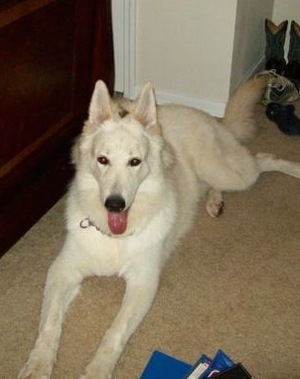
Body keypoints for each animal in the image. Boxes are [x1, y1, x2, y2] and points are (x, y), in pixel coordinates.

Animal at [18, 78, 300, 379]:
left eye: (135, 162)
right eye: (102, 160)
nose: (115, 204)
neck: (115, 237)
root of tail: (212, 118)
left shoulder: (143, 282)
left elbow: (114, 332)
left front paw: (98, 369)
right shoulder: (63, 270)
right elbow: (49, 324)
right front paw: (38, 363)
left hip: (230, 173)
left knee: (264, 158)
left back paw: (290, 169)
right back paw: (214, 201)